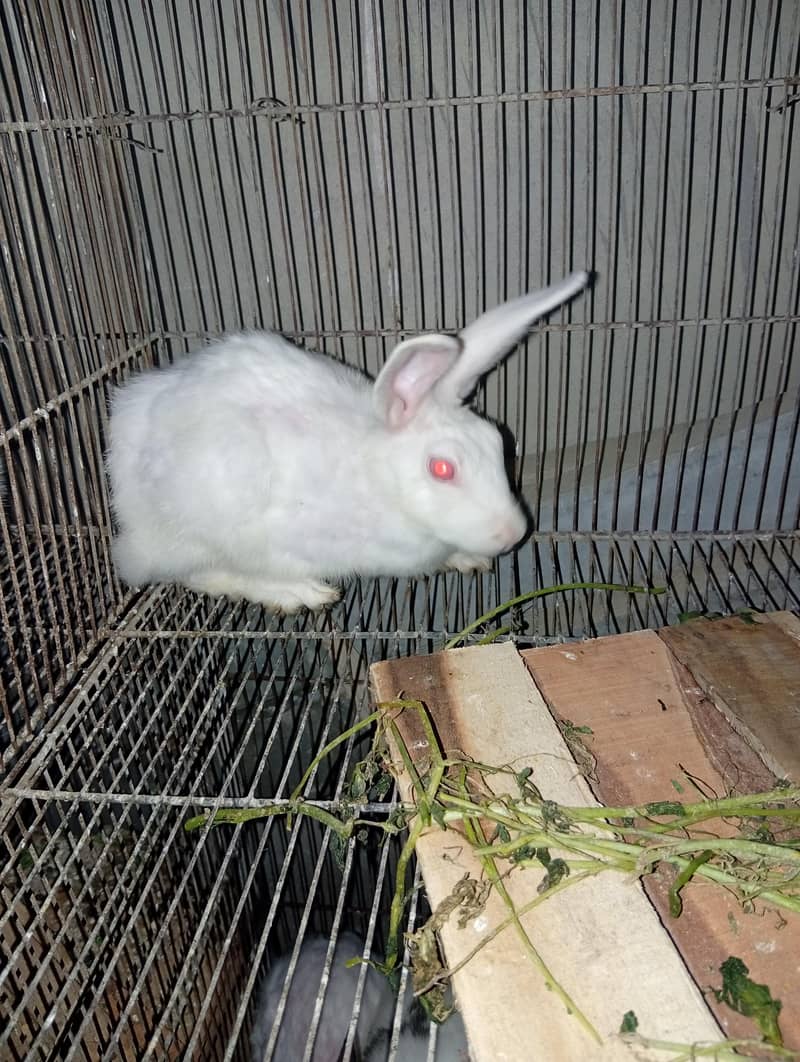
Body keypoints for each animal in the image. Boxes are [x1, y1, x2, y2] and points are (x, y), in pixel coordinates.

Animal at [107, 272, 589, 612]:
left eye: (497, 443)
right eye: (442, 469)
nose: (512, 535)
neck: (377, 481)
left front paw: (466, 558)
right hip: (198, 527)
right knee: (195, 574)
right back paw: (299, 593)